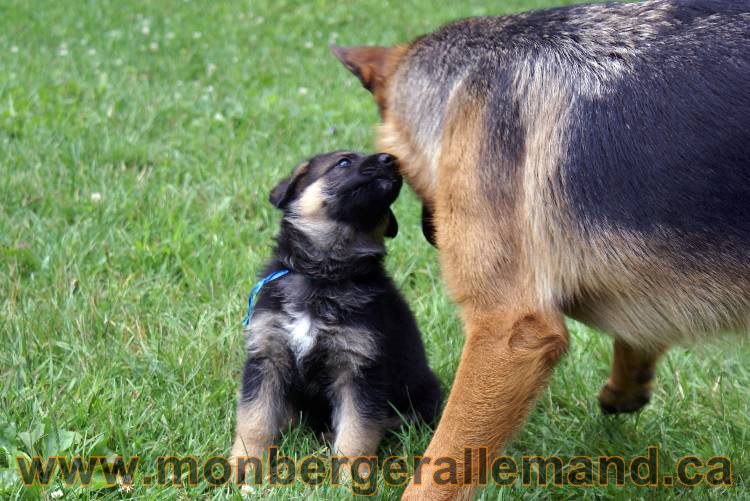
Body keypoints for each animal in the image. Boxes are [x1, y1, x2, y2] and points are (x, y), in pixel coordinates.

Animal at [229, 150, 440, 470]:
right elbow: (254, 419)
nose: (390, 158)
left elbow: (356, 432)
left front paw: (350, 476)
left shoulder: (358, 369)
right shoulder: (267, 355)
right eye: (343, 162)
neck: (324, 275)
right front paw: (244, 466)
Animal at [332, 0, 748, 496]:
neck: (464, 84)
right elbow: (637, 333)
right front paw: (626, 386)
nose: (434, 233)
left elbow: (439, 467)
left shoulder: (510, 333)